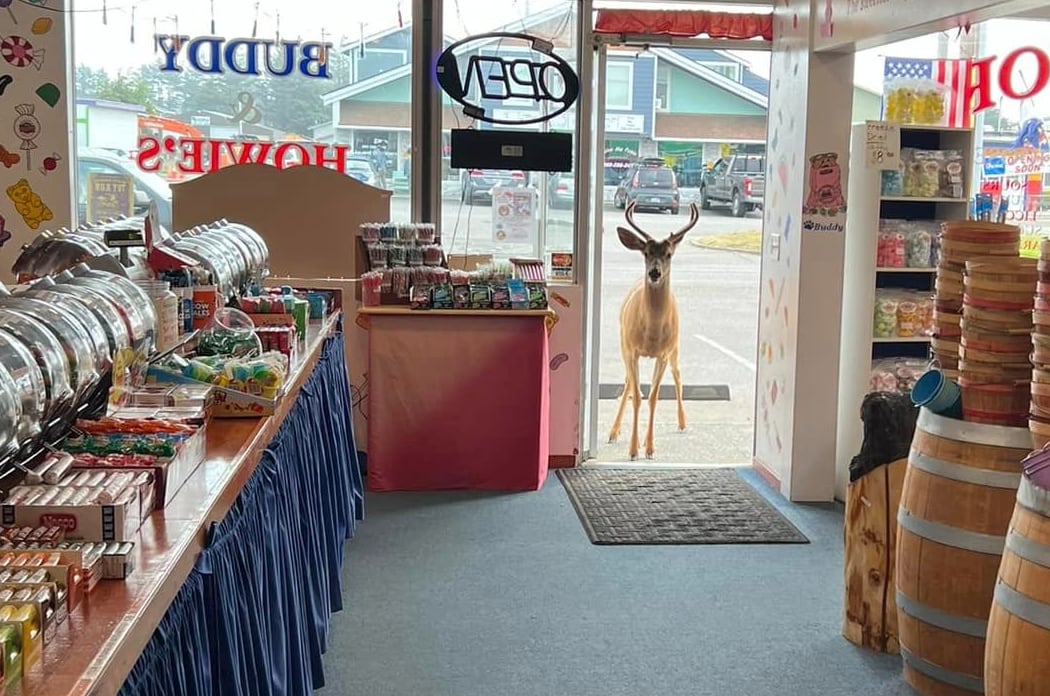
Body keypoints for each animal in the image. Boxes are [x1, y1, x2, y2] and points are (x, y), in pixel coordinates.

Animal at [609, 201, 697, 459]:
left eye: (668, 254)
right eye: (646, 253)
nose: (654, 273)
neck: (652, 334)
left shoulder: (664, 354)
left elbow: (653, 398)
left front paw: (649, 447)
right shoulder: (631, 349)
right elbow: (637, 396)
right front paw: (633, 449)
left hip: (676, 347)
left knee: (678, 375)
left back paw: (682, 422)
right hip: (623, 344)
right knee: (628, 382)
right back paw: (614, 432)